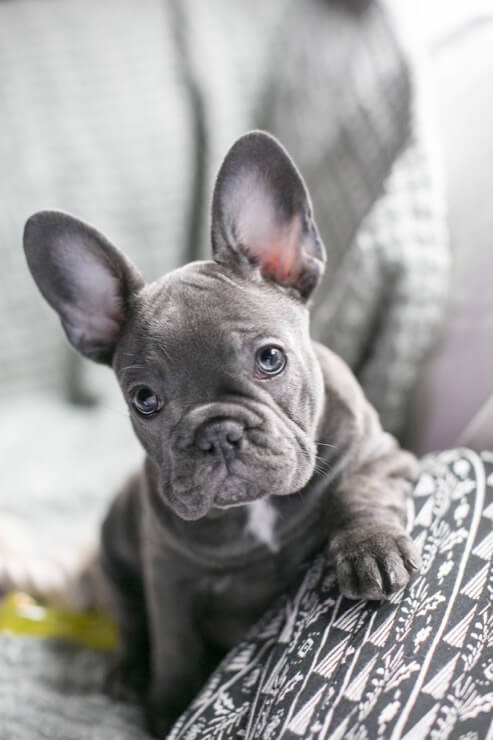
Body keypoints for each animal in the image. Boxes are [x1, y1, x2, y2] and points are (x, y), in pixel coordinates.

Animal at [23, 129, 420, 736]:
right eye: (144, 400)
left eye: (271, 359)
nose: (217, 433)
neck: (255, 510)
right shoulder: (169, 579)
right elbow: (175, 644)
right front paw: (171, 706)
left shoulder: (385, 453)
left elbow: (361, 489)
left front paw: (369, 549)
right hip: (115, 550)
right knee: (131, 619)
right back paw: (129, 672)